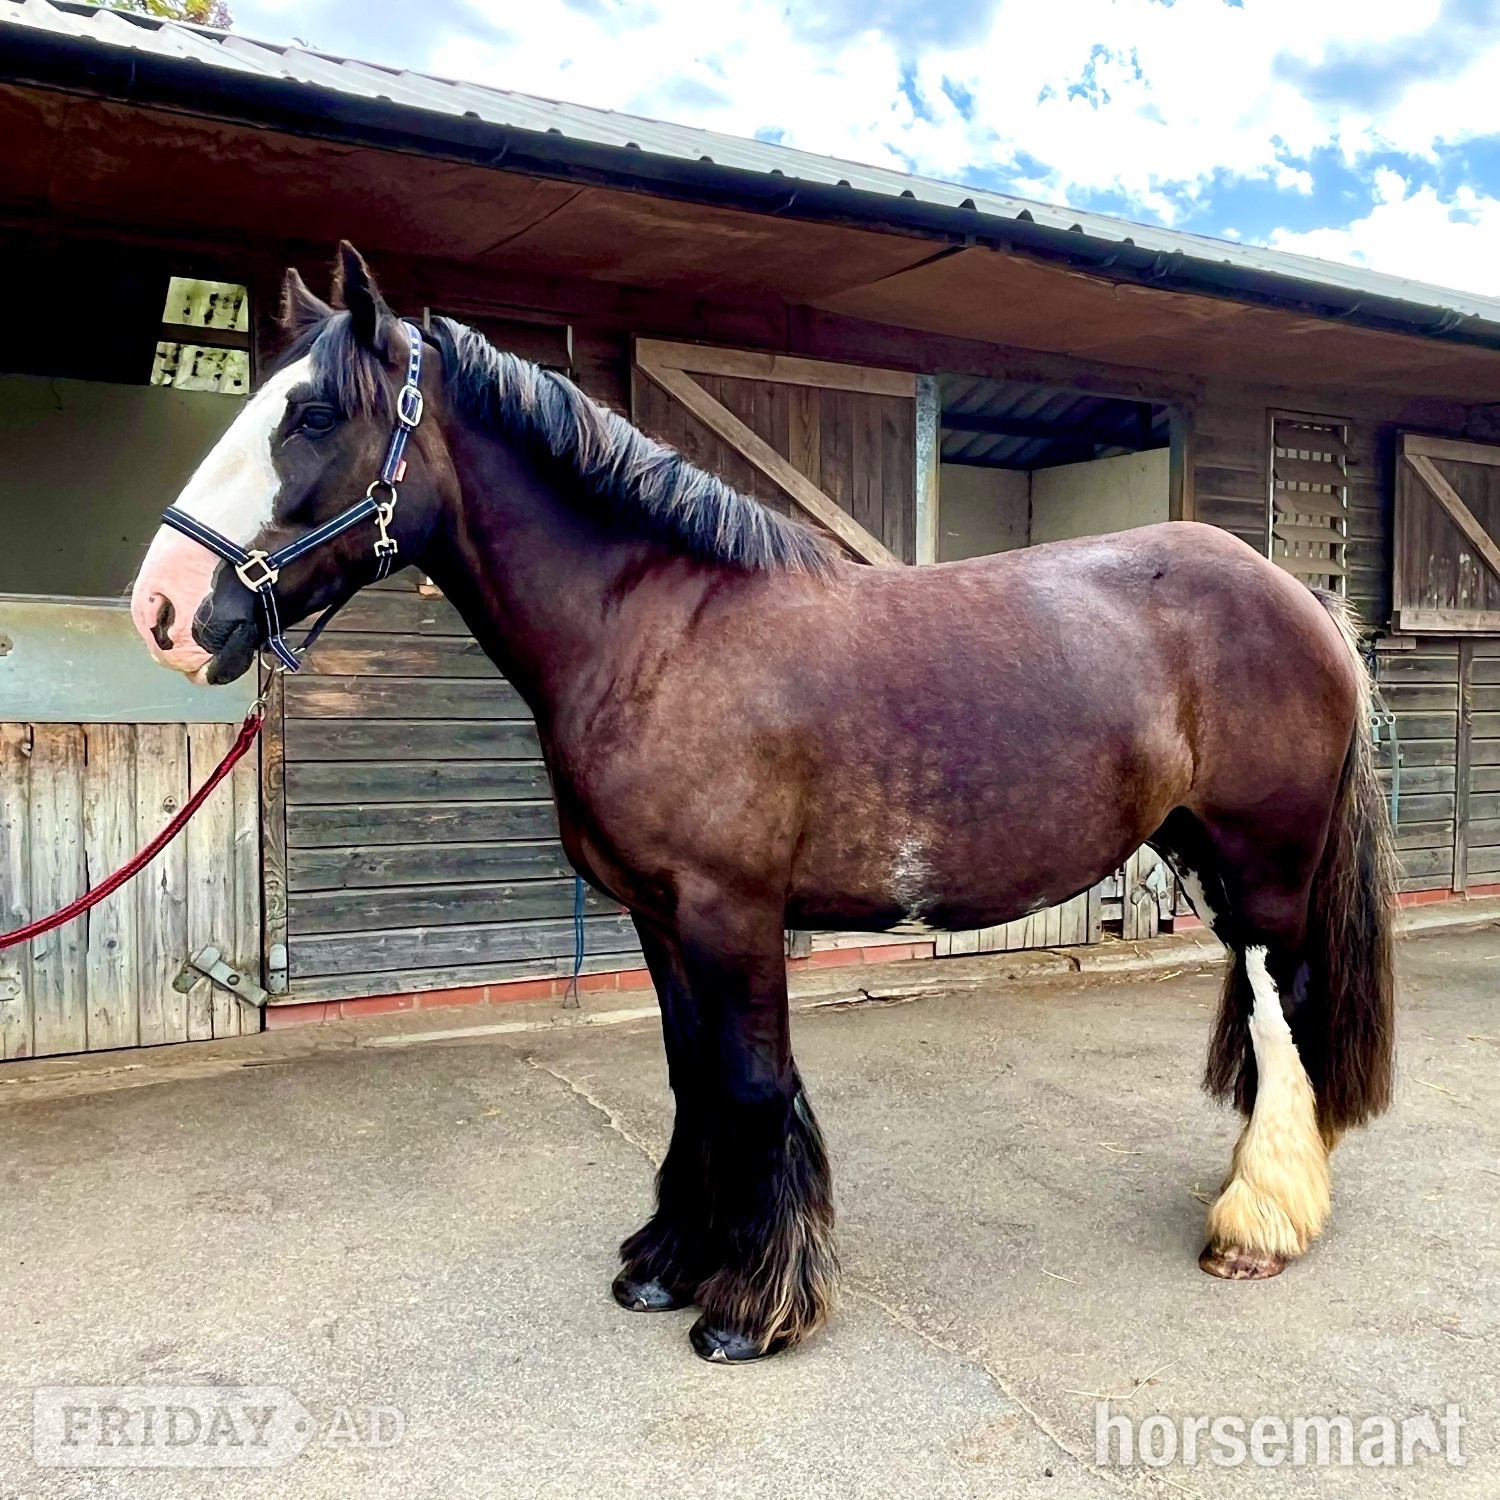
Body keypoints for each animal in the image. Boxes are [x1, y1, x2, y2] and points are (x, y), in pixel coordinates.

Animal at [131, 243, 1396, 1363]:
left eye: (311, 418)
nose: (165, 612)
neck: (658, 634)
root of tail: (1300, 597)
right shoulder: (657, 914)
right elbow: (693, 1077)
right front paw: (669, 1263)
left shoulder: (729, 910)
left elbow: (748, 1083)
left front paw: (751, 1306)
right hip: (1205, 857)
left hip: (1266, 862)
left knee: (1283, 1006)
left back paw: (1257, 1225)